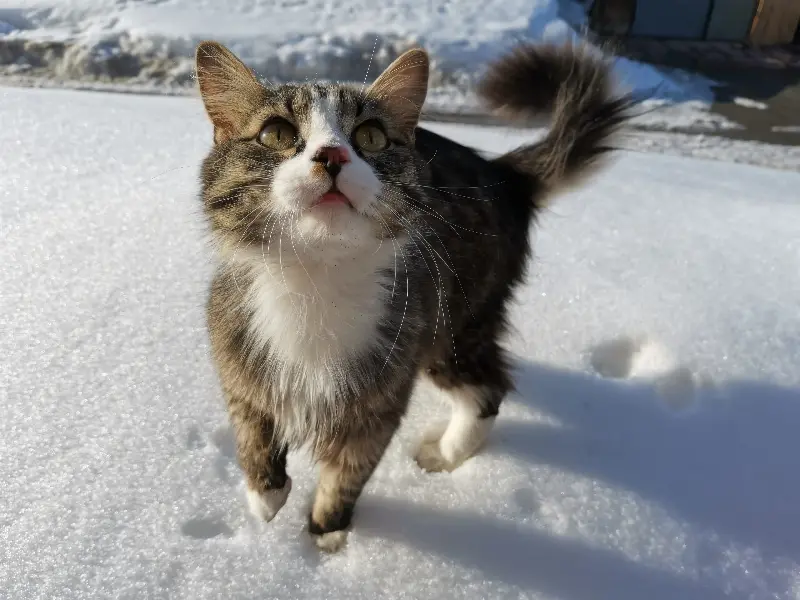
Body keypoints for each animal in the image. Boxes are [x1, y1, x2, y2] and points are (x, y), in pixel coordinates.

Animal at [195, 39, 632, 552]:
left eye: (370, 137)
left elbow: (347, 475)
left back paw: (444, 455)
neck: (317, 279)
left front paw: (327, 535)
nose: (332, 155)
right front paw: (265, 495)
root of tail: (501, 173)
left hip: (454, 326)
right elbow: (250, 425)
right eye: (276, 133)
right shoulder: (233, 344)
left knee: (489, 388)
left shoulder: (382, 398)